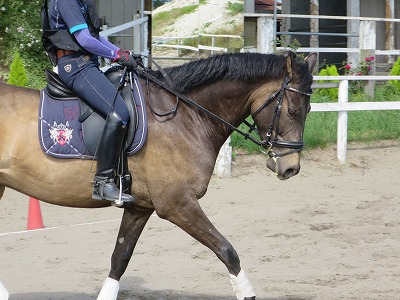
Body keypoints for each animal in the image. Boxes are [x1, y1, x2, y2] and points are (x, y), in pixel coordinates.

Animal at [0, 52, 316, 300]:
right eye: (292, 110)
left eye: (308, 109)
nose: (291, 168)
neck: (186, 117)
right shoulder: (177, 204)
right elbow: (227, 250)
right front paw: (246, 292)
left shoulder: (140, 207)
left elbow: (120, 258)